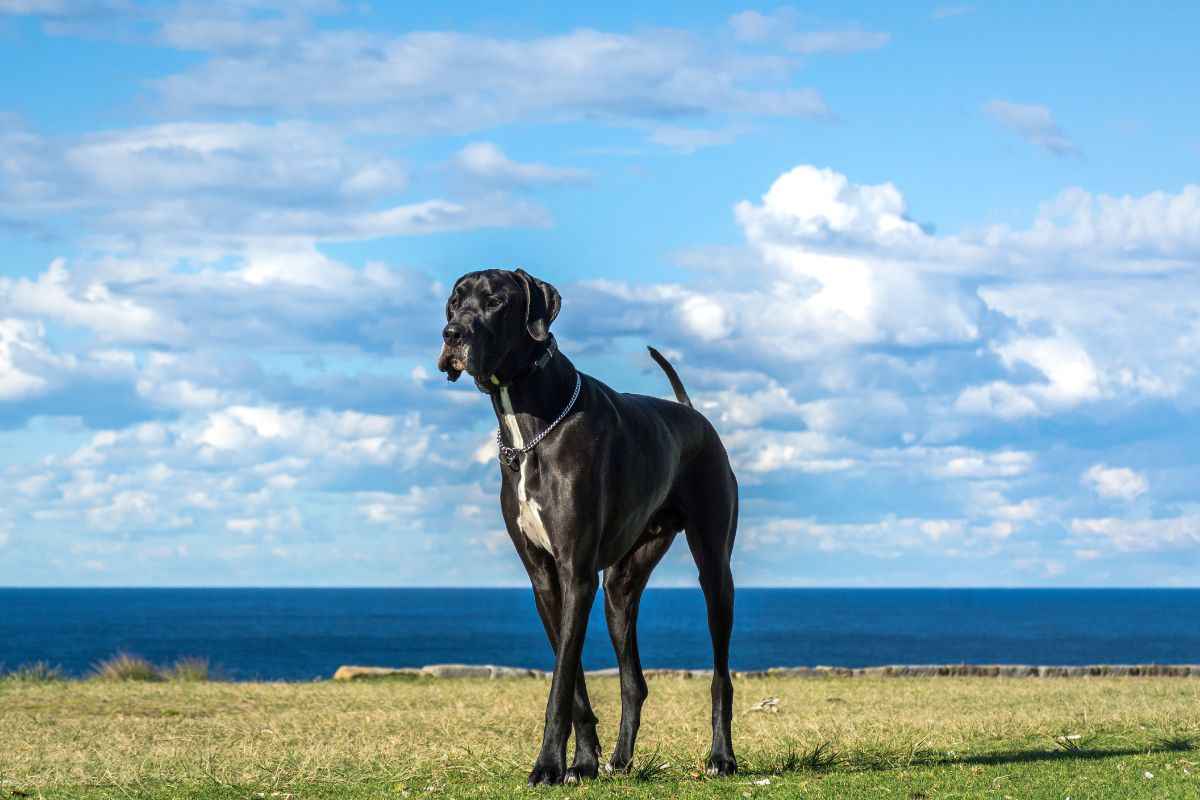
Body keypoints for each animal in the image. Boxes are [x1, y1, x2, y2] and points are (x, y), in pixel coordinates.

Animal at [439, 271, 739, 786]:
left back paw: (721, 757)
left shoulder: (576, 573)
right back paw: (620, 760)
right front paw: (581, 762)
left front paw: (547, 766)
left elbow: (560, 685)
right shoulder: (546, 579)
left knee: (721, 676)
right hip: (620, 587)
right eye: (454, 303)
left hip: (715, 571)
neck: (530, 423)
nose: (452, 334)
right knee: (633, 682)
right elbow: (573, 680)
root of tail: (691, 413)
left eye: (495, 302)